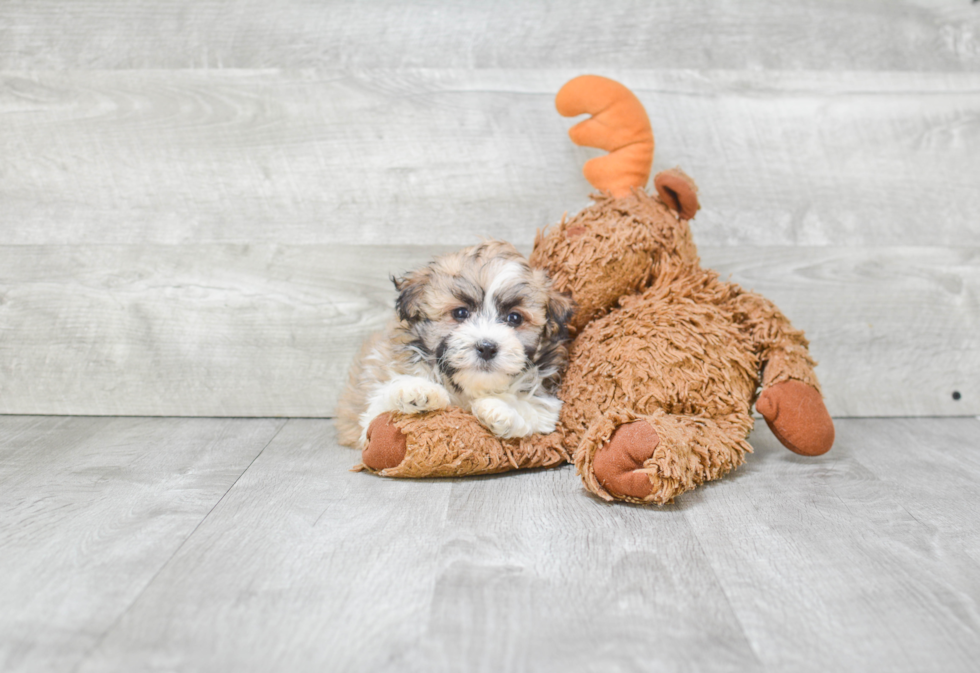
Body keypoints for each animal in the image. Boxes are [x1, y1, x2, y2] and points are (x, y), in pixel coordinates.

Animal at [336, 239, 576, 448]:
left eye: (514, 318)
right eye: (461, 313)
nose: (487, 347)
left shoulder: (546, 406)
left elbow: (533, 408)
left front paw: (501, 409)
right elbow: (381, 407)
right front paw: (415, 391)